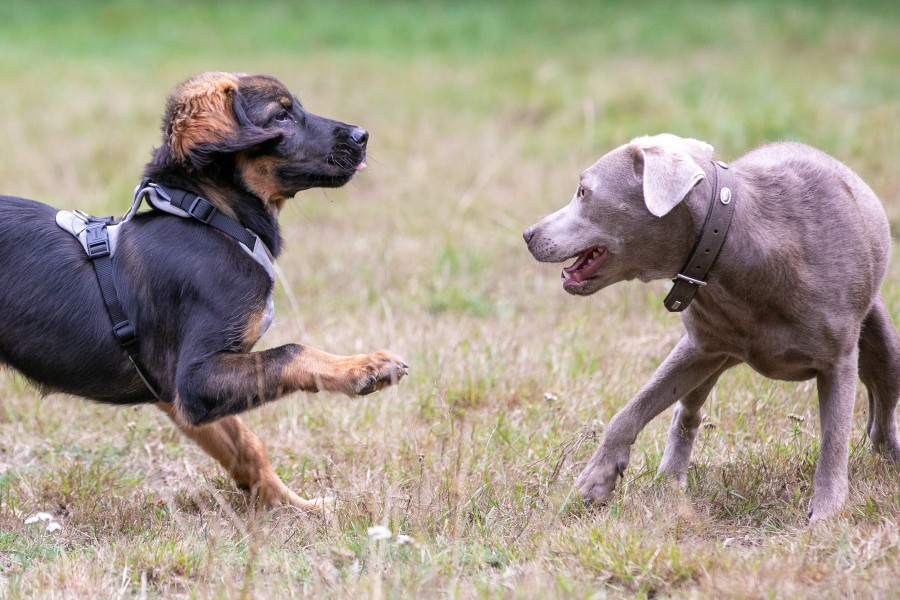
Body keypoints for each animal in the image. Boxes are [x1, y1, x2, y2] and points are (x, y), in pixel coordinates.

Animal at [0, 70, 404, 510]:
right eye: (281, 114)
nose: (363, 135)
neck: (211, 219)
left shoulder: (177, 396)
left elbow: (247, 447)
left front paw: (295, 507)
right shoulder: (195, 376)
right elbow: (293, 351)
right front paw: (361, 367)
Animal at [524, 135, 896, 520]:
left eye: (584, 191)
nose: (528, 234)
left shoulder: (838, 361)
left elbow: (834, 437)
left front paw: (826, 513)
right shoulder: (701, 346)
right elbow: (629, 411)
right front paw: (594, 481)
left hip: (884, 343)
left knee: (882, 413)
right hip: (705, 358)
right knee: (686, 413)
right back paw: (669, 482)